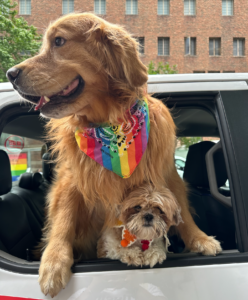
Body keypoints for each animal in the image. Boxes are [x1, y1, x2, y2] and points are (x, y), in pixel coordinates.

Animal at [7, 12, 221, 298]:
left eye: (59, 41)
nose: (10, 74)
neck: (111, 127)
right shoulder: (71, 179)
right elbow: (63, 219)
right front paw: (54, 263)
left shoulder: (166, 172)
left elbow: (183, 211)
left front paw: (200, 239)